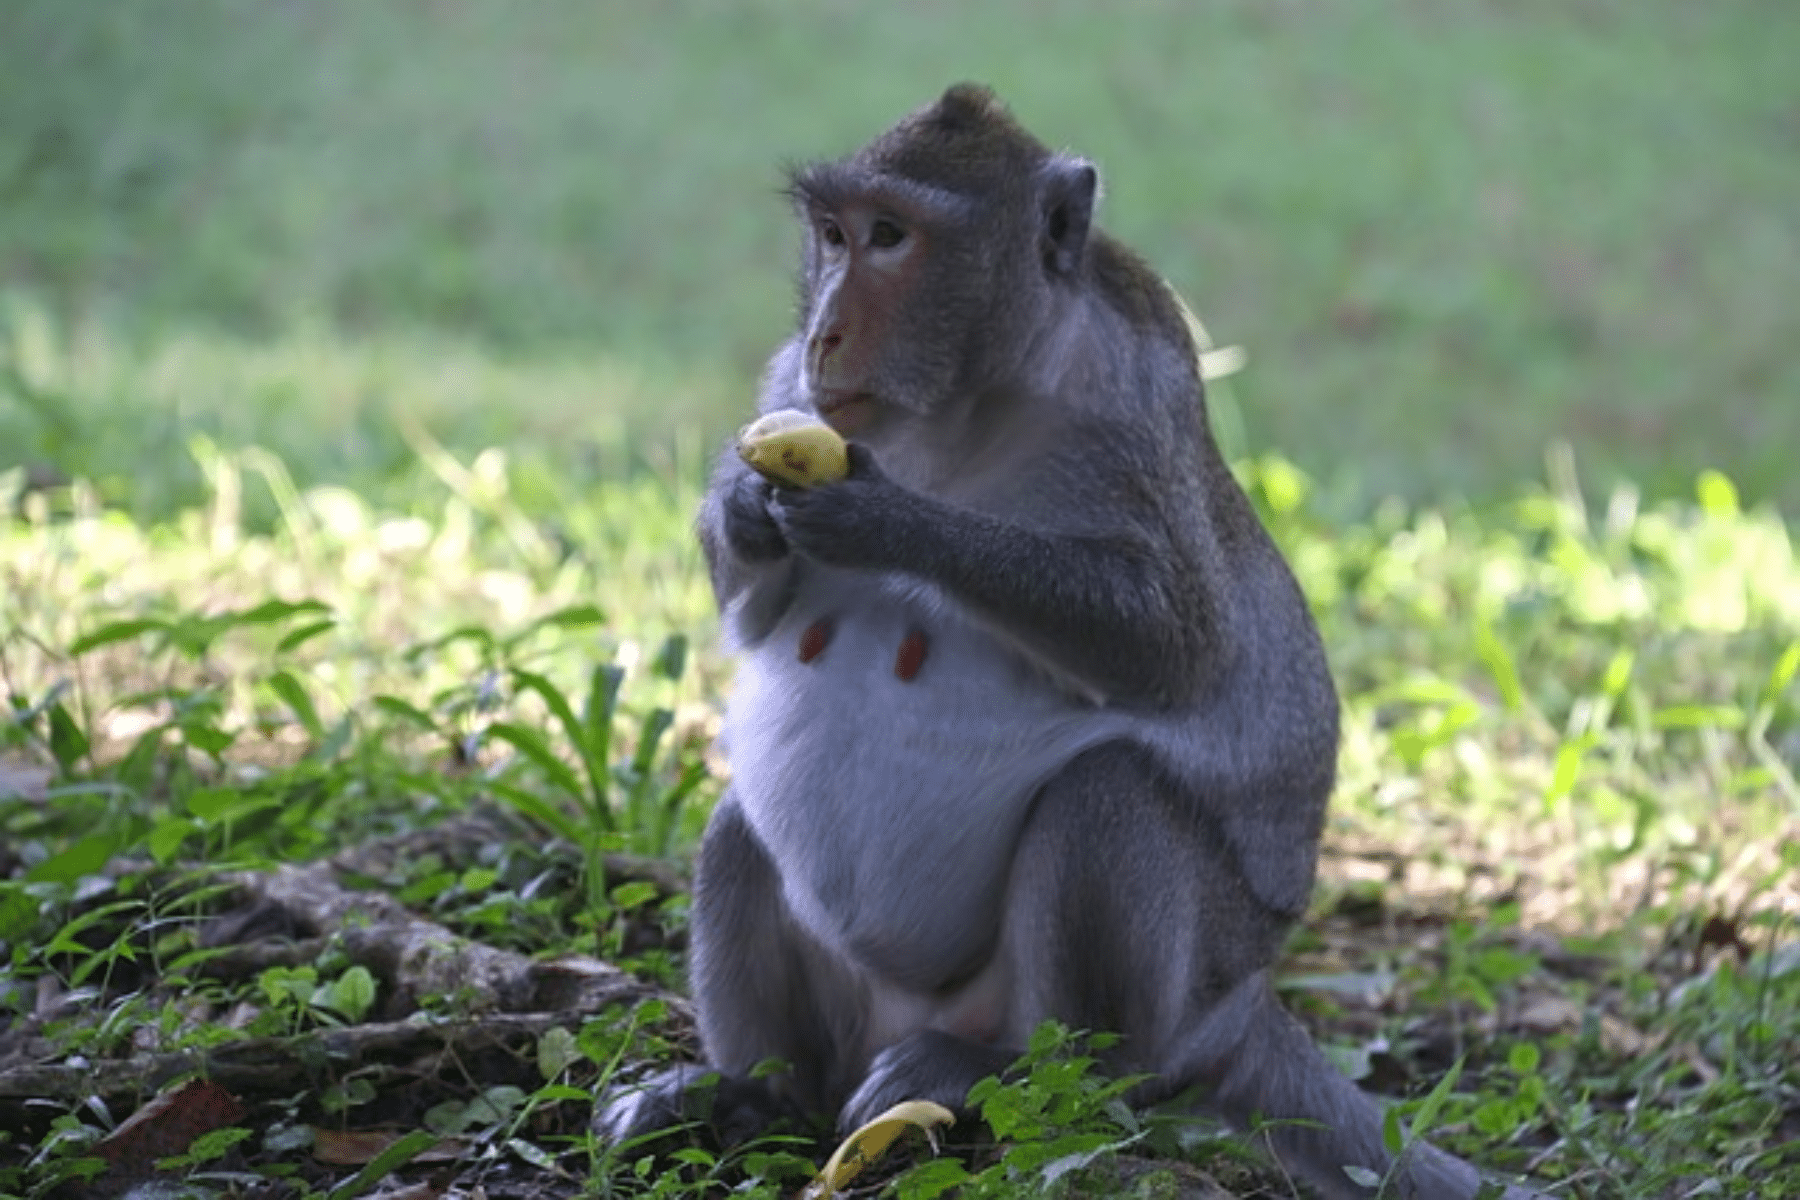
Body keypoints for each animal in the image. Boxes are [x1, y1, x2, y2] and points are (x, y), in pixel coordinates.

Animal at [601, 84, 1533, 1200]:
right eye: (831, 236)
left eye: (890, 236)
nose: (825, 332)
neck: (955, 410)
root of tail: (1247, 1005)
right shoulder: (785, 387)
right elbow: (754, 618)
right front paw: (744, 507)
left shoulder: (1134, 399)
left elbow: (1168, 642)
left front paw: (889, 521)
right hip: (855, 1021)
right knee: (745, 829)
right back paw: (753, 1095)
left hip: (1177, 996)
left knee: (1108, 802)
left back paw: (1013, 1070)